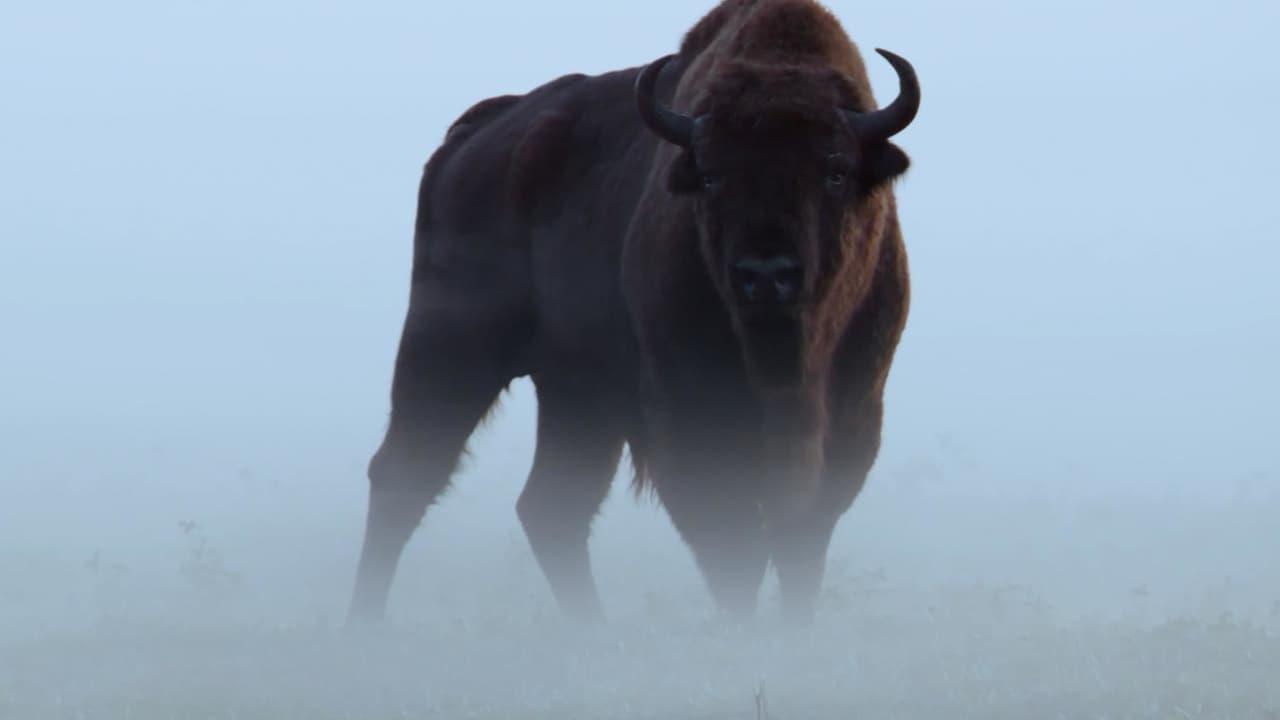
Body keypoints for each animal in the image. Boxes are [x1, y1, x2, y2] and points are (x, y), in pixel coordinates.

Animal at [348, 0, 921, 622]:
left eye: (835, 171)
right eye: (712, 175)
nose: (765, 274)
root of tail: (475, 135)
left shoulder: (851, 413)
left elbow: (801, 543)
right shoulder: (688, 414)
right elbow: (733, 542)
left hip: (577, 394)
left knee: (550, 506)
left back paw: (593, 629)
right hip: (449, 349)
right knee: (404, 473)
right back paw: (364, 624)